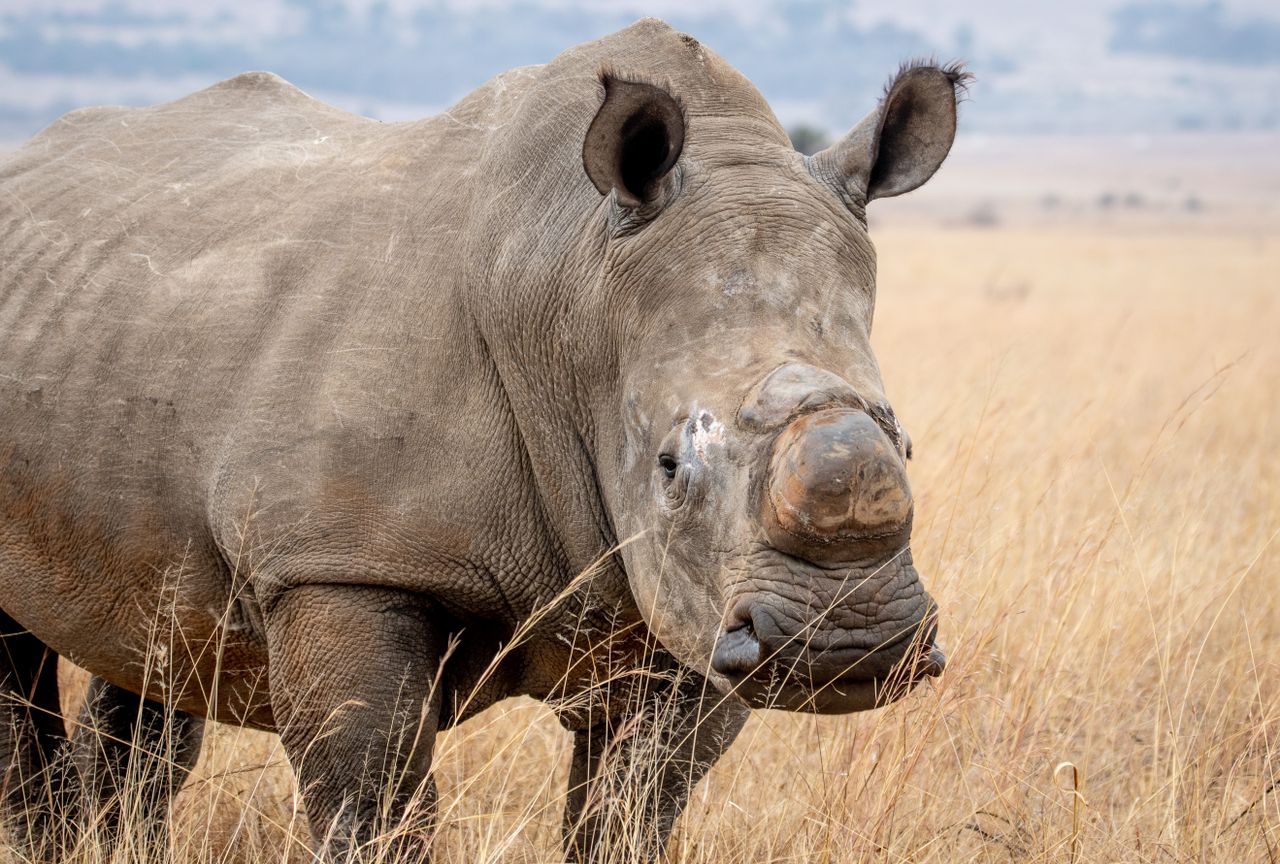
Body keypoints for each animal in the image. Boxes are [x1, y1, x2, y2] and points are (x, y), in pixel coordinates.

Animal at [0, 18, 964, 862]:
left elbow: (634, 806)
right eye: (668, 468)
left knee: (154, 651)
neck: (576, 293)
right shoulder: (337, 561)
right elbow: (375, 799)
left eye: (908, 446)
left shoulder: (695, 605)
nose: (850, 640)